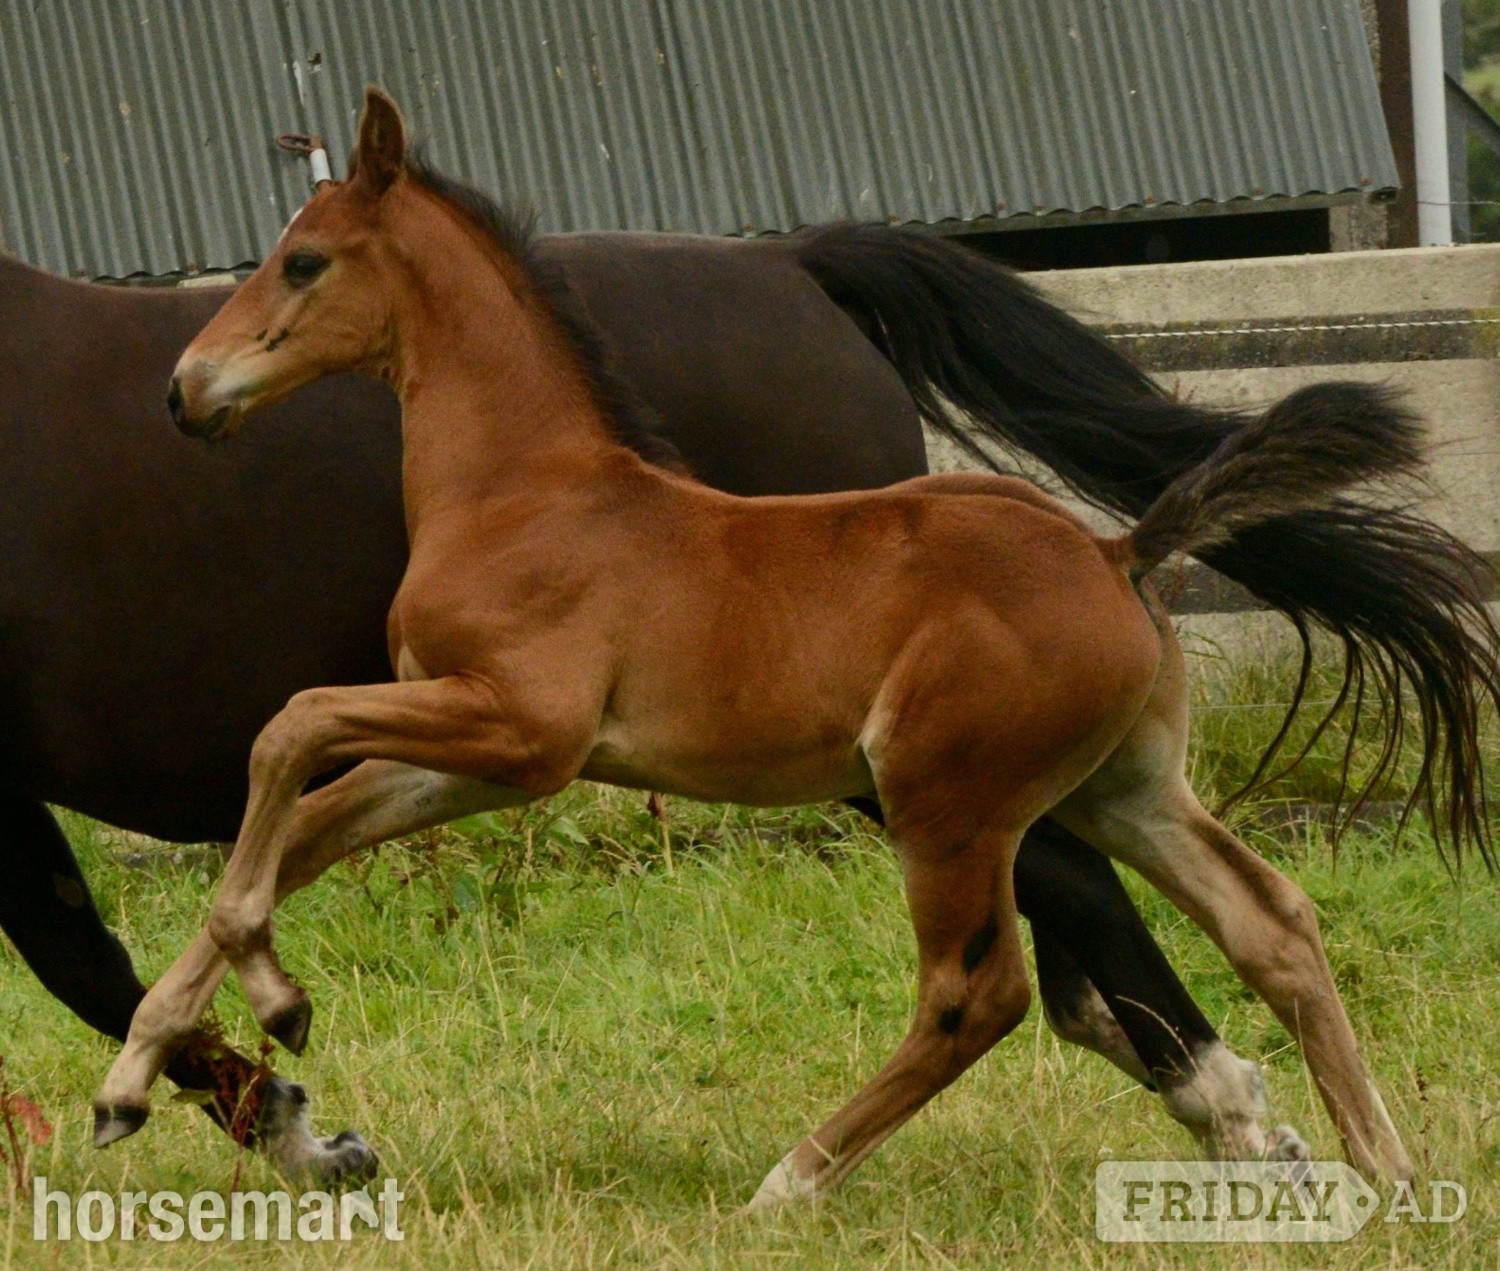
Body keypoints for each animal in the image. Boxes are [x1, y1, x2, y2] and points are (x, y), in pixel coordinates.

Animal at [99, 89, 1492, 1199]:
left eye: (303, 262)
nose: (183, 389)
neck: (526, 488)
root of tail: (1115, 552)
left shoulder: (523, 724)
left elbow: (289, 736)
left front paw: (274, 1002)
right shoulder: (477, 749)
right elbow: (309, 823)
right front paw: (137, 1072)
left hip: (943, 799)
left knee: (975, 995)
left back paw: (793, 1177)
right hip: (1122, 786)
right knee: (1274, 919)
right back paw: (1386, 1169)